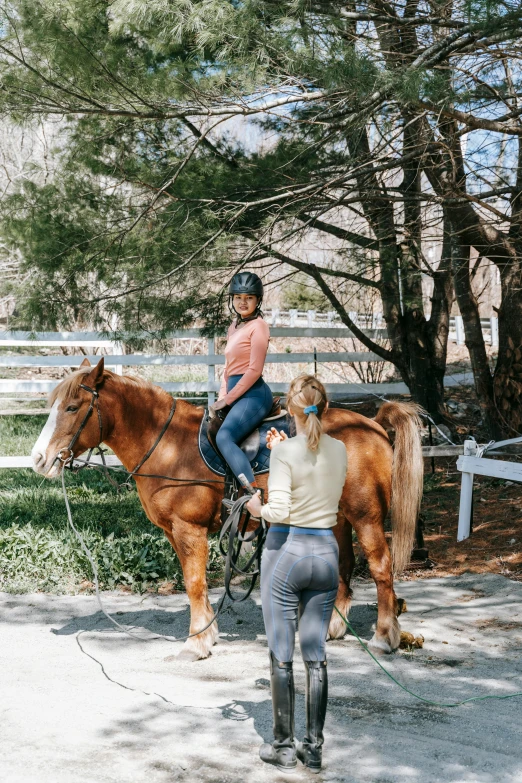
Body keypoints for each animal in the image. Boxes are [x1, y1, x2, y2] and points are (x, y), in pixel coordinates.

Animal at [31, 362, 422, 660]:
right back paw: (331, 627)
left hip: (365, 517)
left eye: (72, 407)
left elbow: (194, 582)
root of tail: (372, 423)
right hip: (336, 518)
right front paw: (207, 632)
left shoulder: (188, 529)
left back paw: (384, 636)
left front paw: (195, 642)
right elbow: (196, 583)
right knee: (342, 565)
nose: (38, 459)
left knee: (380, 567)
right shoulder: (174, 532)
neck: (168, 444)